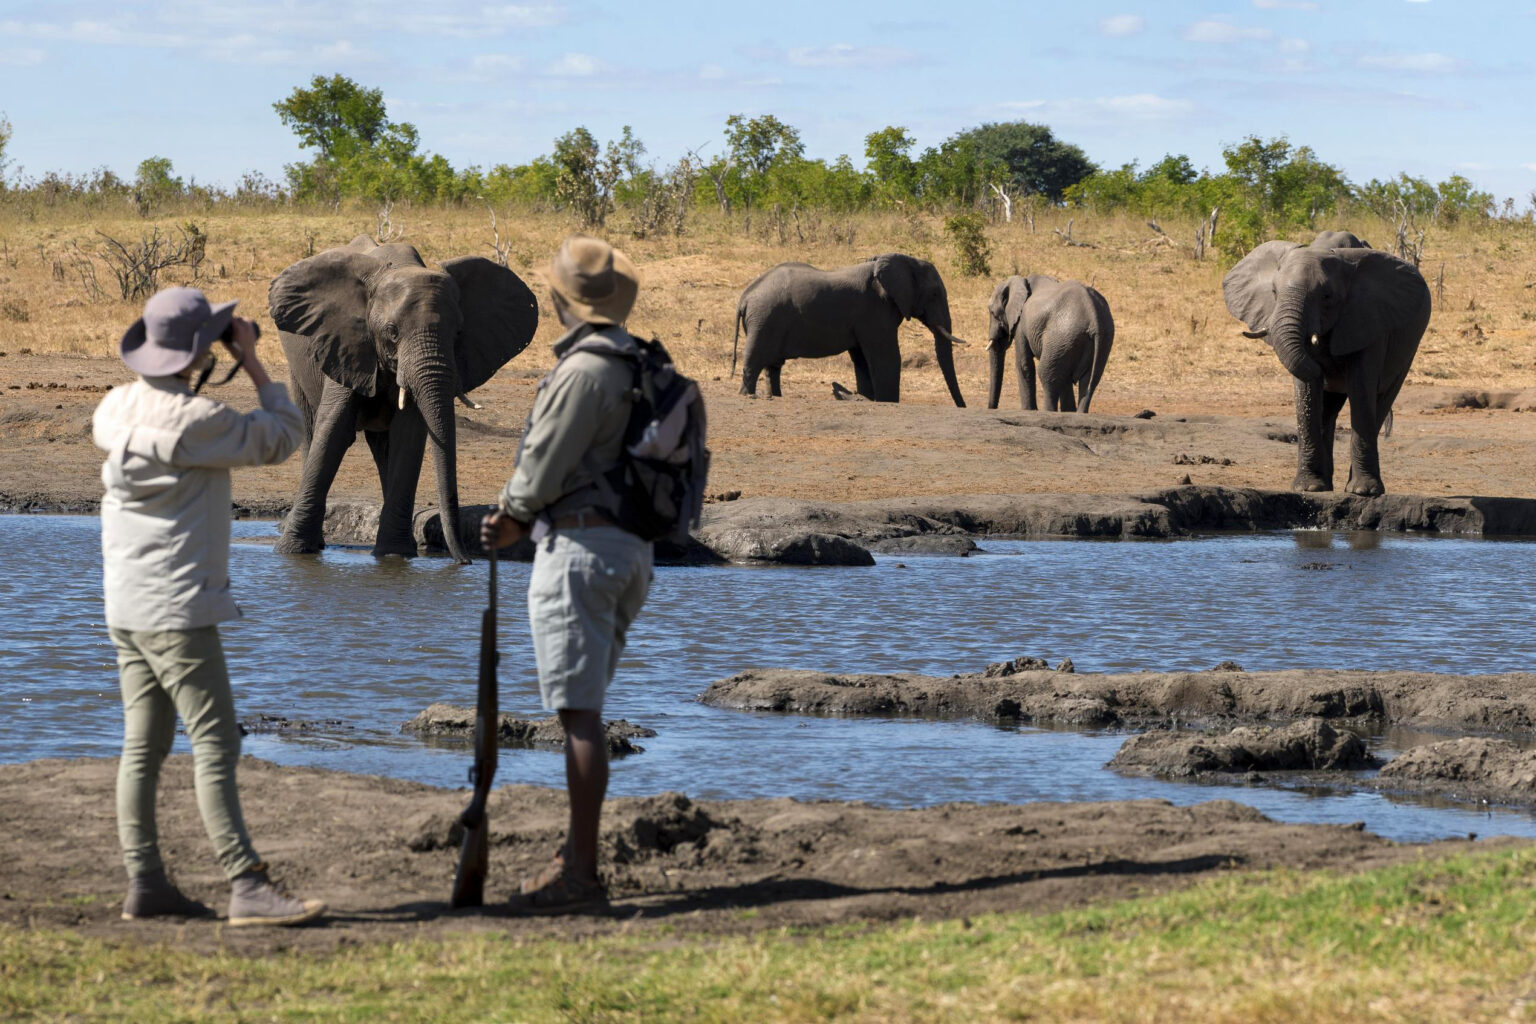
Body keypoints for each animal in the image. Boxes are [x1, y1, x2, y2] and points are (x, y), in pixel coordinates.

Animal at [269, 235, 537, 563]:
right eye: (392, 332)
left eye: (458, 333)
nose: (465, 561)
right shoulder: (346, 344)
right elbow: (334, 430)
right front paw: (291, 552)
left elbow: (407, 436)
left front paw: (395, 555)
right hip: (299, 366)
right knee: (311, 430)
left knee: (383, 446)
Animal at [731, 253, 966, 405]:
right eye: (934, 294)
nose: (961, 406)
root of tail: (745, 296)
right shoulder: (875, 310)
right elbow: (886, 358)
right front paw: (888, 402)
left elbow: (862, 360)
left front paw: (869, 398)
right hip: (764, 320)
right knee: (754, 362)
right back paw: (747, 396)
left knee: (773, 366)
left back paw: (774, 397)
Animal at [984, 275, 1113, 412]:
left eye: (992, 312)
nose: (993, 408)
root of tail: (1093, 316)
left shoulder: (1021, 324)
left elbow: (1024, 365)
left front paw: (1029, 410)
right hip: (1096, 340)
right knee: (1087, 381)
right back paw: (1076, 413)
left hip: (1061, 337)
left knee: (1047, 374)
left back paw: (1048, 411)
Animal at [1222, 240, 1431, 496]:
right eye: (1274, 293)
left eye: (1327, 296)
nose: (1326, 362)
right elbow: (1308, 393)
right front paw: (1308, 488)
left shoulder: (1369, 320)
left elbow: (1361, 388)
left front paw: (1364, 491)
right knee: (1329, 410)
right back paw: (1326, 485)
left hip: (1409, 349)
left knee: (1382, 400)